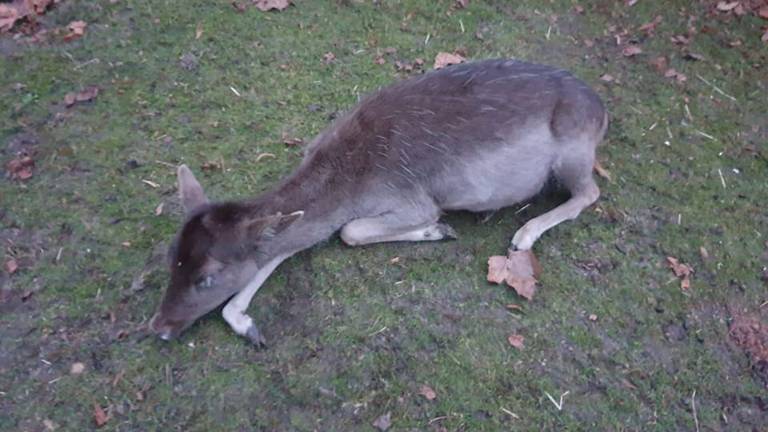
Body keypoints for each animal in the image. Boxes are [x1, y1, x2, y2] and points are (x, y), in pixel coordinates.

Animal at [148, 59, 608, 346]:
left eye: (206, 278)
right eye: (171, 257)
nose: (159, 326)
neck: (349, 181)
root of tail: (601, 109)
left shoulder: (411, 198)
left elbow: (350, 231)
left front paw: (437, 229)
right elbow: (284, 245)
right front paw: (246, 324)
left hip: (572, 151)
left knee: (590, 191)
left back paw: (525, 233)